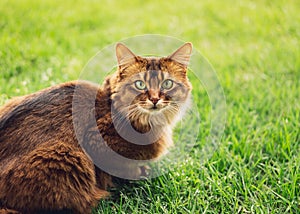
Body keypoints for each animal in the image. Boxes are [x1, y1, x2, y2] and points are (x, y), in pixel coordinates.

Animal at [0, 41, 192, 213]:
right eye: (140, 84)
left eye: (167, 84)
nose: (154, 99)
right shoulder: (98, 142)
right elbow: (122, 167)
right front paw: (137, 174)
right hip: (68, 156)